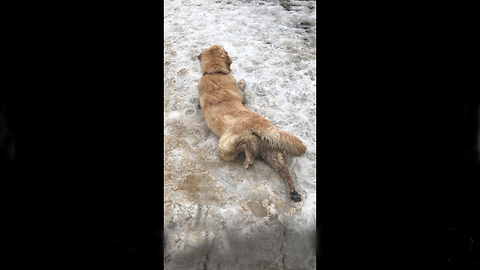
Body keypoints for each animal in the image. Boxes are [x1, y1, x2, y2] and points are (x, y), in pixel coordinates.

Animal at [196, 44, 306, 202]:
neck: (214, 72)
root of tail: (258, 124)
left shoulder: (241, 96)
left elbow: (241, 90)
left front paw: (242, 82)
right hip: (271, 153)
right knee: (283, 170)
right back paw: (293, 192)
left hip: (224, 146)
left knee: (244, 145)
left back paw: (248, 159)